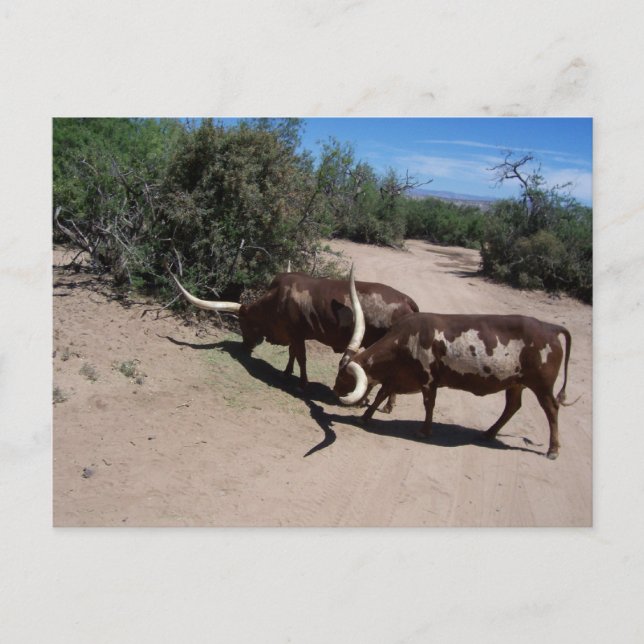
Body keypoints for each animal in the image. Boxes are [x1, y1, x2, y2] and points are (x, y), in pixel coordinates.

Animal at [167, 265, 418, 410]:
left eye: (243, 323)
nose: (246, 346)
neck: (277, 298)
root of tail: (406, 300)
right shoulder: (292, 334)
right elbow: (292, 354)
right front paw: (286, 372)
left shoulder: (297, 334)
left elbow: (301, 357)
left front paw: (302, 383)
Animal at [333, 267, 574, 459]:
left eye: (344, 376)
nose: (335, 390)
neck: (405, 339)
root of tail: (550, 328)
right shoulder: (399, 375)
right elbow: (382, 394)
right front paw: (365, 417)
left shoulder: (428, 379)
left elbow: (428, 403)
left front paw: (424, 431)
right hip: (516, 382)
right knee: (512, 406)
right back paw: (488, 433)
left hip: (541, 385)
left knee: (551, 409)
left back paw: (553, 450)